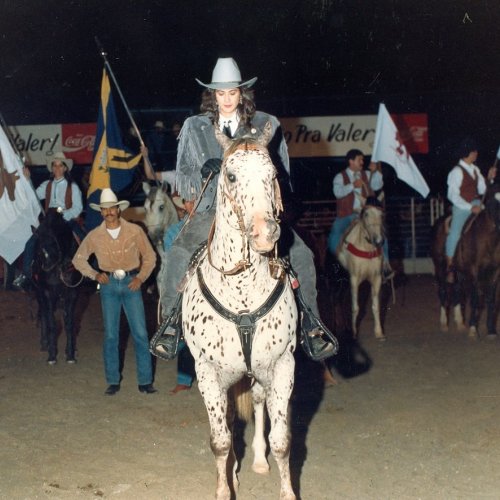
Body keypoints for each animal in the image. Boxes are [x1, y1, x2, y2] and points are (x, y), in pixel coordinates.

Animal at [182, 122, 296, 500]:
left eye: (273, 174)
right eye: (230, 175)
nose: (265, 232)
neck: (242, 292)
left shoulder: (282, 365)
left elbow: (282, 440)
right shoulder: (208, 372)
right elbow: (220, 440)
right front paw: (224, 487)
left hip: (256, 374)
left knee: (258, 403)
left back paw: (258, 461)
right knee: (230, 419)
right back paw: (234, 469)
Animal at [336, 201, 386, 342]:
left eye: (382, 214)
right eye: (366, 214)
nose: (379, 241)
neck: (365, 249)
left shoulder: (376, 279)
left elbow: (375, 307)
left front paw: (379, 332)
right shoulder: (354, 280)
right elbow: (355, 308)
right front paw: (353, 333)